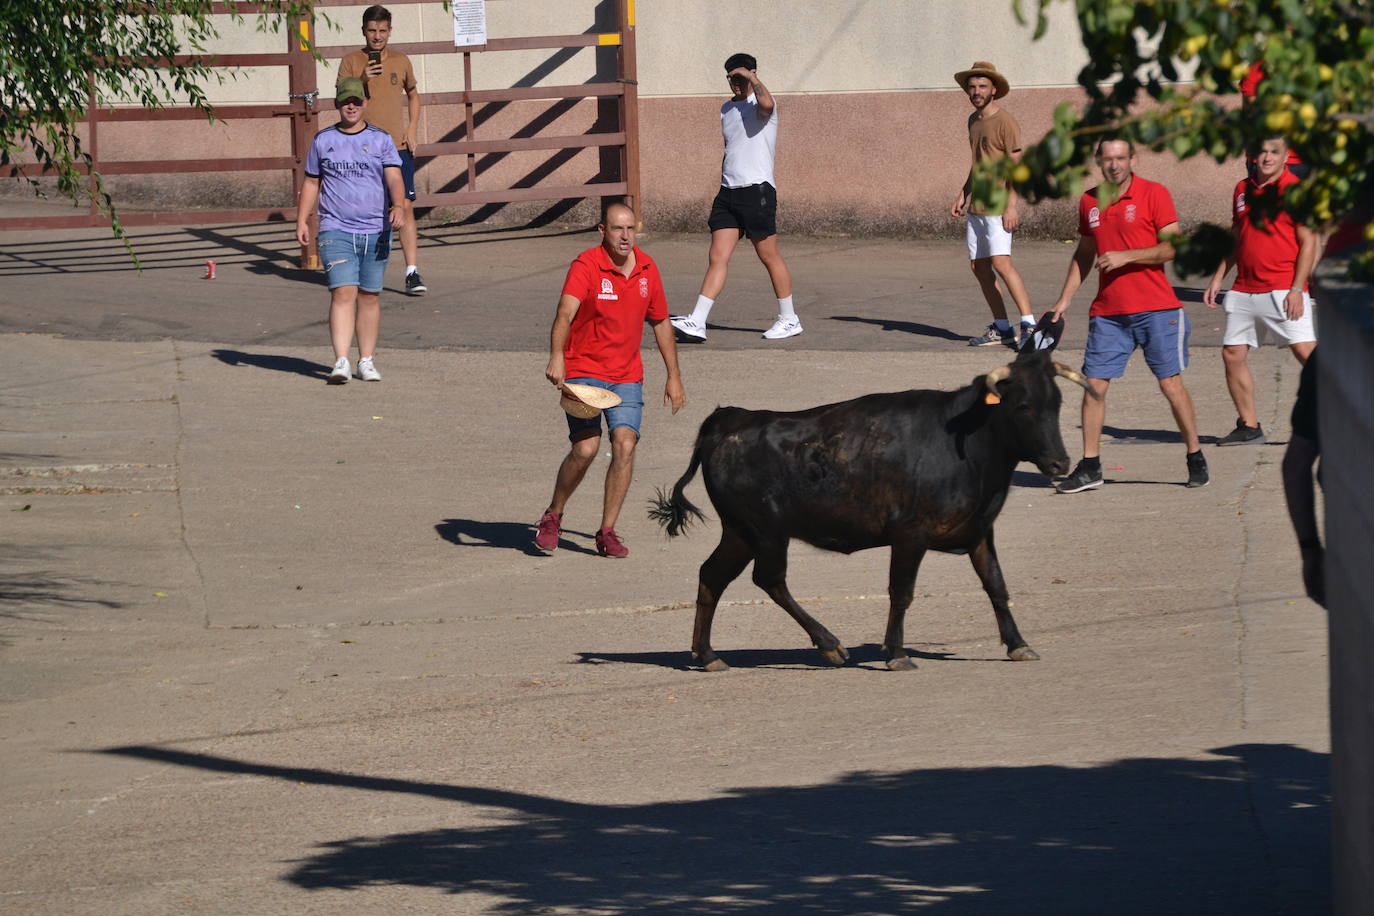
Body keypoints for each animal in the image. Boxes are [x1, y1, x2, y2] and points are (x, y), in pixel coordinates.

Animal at [648, 351, 1088, 672]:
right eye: (1023, 406)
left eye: (1057, 403)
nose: (1059, 464)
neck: (966, 443)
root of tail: (727, 420)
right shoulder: (910, 535)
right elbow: (902, 592)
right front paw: (897, 653)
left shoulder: (980, 531)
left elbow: (996, 585)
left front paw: (1019, 644)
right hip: (765, 532)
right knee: (769, 579)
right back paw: (829, 645)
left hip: (739, 532)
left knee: (713, 575)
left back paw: (708, 656)